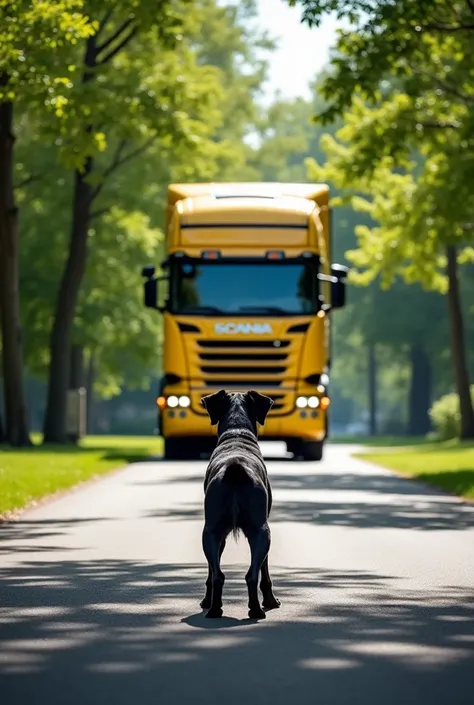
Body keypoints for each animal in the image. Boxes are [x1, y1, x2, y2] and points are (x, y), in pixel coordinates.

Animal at [198, 388, 280, 620]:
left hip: (211, 531)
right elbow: (265, 570)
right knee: (252, 574)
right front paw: (271, 601)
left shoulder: (219, 532)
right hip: (261, 531)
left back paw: (215, 609)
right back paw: (256, 609)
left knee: (218, 575)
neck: (236, 432)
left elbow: (212, 569)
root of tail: (234, 467)